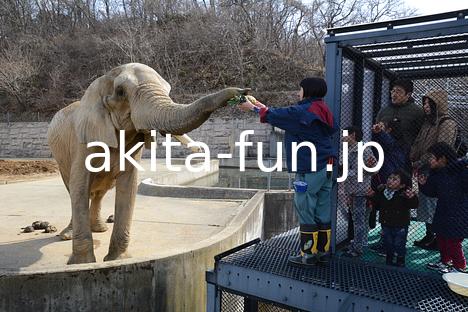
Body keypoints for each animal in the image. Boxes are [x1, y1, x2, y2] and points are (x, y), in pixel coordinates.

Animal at [48, 62, 250, 264]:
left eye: (168, 90)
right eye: (120, 92)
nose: (243, 93)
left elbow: (128, 186)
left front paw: (117, 260)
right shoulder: (84, 139)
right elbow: (80, 185)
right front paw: (83, 264)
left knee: (100, 192)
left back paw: (99, 229)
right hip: (61, 157)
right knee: (74, 189)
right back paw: (68, 235)